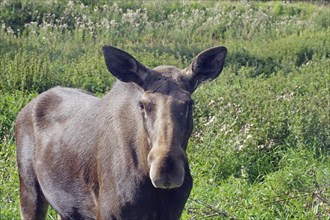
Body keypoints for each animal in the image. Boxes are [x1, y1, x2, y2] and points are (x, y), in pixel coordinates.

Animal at [16, 44, 227, 218]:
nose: (166, 169)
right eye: (143, 104)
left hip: (66, 208)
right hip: (29, 191)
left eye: (189, 103)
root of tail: (24, 110)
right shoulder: (107, 213)